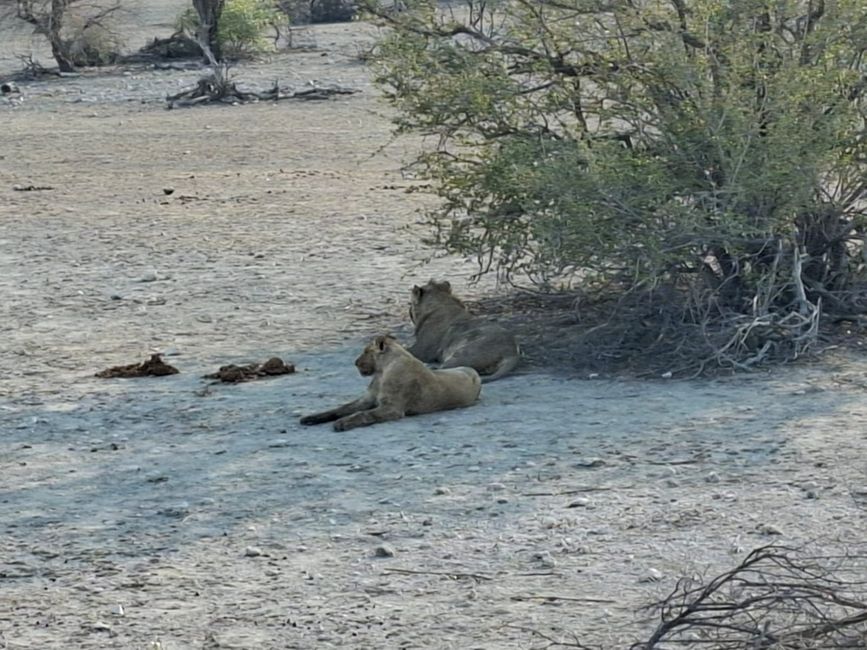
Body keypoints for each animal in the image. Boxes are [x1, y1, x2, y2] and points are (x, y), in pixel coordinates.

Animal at [300, 334, 482, 430]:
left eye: (366, 351)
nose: (355, 362)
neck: (382, 371)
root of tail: (472, 369)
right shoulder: (366, 400)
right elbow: (339, 409)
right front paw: (311, 418)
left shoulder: (392, 408)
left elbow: (364, 414)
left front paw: (342, 423)